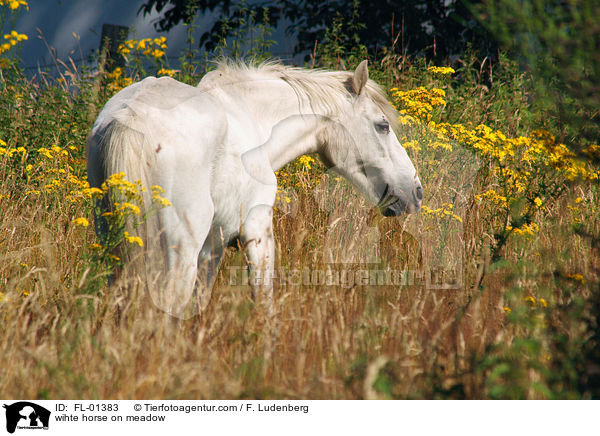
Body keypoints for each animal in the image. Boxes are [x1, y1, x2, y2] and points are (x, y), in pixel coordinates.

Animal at [86, 60, 424, 316]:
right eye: (382, 125)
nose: (415, 192)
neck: (253, 120)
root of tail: (129, 118)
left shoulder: (213, 246)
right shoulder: (257, 231)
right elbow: (263, 303)